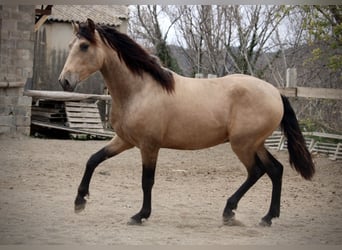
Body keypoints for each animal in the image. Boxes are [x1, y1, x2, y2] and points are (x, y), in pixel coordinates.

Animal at [58, 19, 316, 227]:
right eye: (71, 45)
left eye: (84, 46)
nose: (64, 81)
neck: (140, 90)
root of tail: (275, 93)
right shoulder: (124, 140)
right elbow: (93, 159)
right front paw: (79, 201)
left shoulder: (149, 146)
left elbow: (147, 181)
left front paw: (140, 215)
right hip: (256, 143)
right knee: (275, 170)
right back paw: (267, 217)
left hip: (243, 144)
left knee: (257, 171)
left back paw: (230, 212)